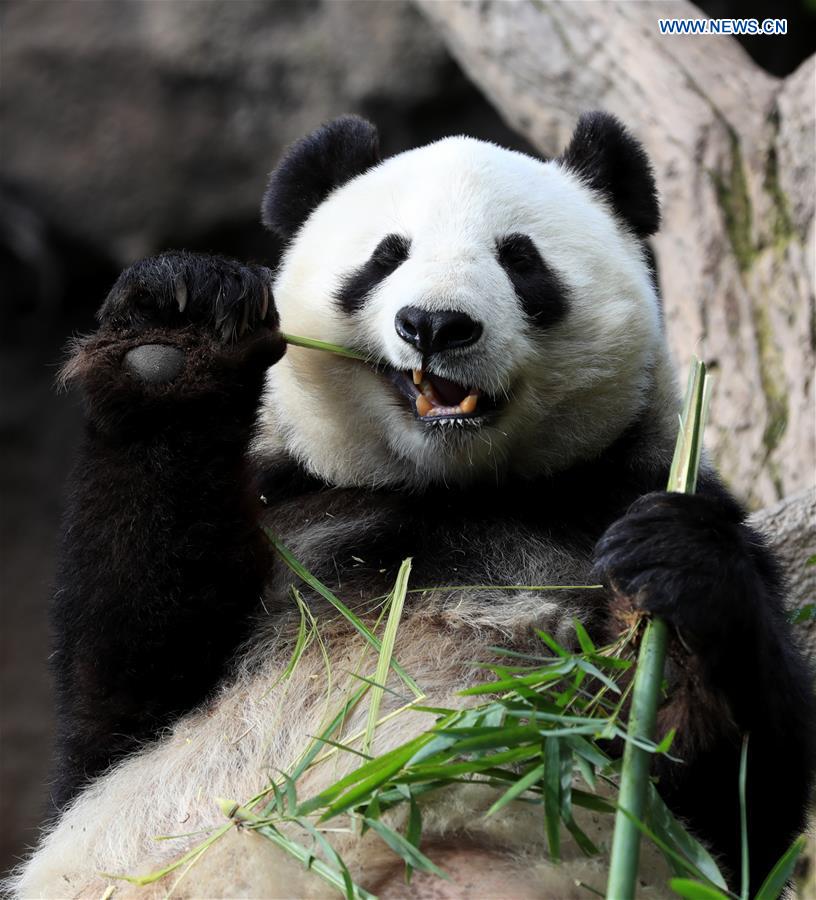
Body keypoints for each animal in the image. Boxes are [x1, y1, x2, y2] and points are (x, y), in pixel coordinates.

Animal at [7, 116, 816, 896]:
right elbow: (121, 700)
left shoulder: (619, 493)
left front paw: (673, 567)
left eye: (520, 258)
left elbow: (733, 801)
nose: (435, 325)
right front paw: (177, 333)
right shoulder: (290, 505)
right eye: (385, 256)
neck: (450, 488)